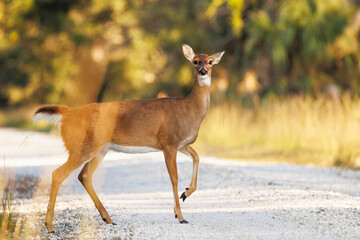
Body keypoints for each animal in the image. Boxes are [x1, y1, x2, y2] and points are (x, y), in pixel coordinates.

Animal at [34, 44, 225, 232]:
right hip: (81, 146)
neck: (190, 109)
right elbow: (174, 178)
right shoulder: (169, 142)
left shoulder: (181, 144)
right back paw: (49, 225)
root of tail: (66, 113)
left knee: (84, 176)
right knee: (58, 174)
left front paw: (185, 193)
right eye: (195, 61)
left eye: (210, 61)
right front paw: (180, 216)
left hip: (100, 148)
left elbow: (197, 157)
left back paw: (108, 219)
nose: (203, 71)